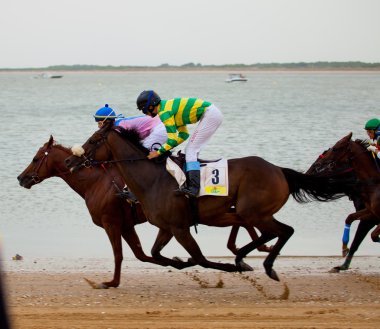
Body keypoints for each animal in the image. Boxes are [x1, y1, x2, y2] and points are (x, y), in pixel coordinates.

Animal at [16, 135, 268, 286]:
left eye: (35, 158)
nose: (21, 178)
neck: (94, 182)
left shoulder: (111, 223)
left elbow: (120, 254)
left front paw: (111, 282)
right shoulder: (127, 225)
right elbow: (142, 255)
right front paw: (179, 261)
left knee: (244, 219)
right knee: (242, 218)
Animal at [63, 121, 352, 280]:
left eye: (94, 139)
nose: (69, 161)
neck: (152, 179)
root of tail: (279, 170)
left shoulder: (179, 228)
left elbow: (200, 258)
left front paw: (223, 267)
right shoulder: (168, 227)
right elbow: (157, 252)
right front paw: (181, 261)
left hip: (253, 212)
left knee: (284, 230)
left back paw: (262, 265)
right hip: (247, 213)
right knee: (273, 232)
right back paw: (247, 259)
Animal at [308, 132, 378, 270]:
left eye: (335, 149)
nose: (308, 172)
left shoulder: (372, 218)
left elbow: (367, 237)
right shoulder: (369, 213)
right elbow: (350, 218)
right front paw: (344, 256)